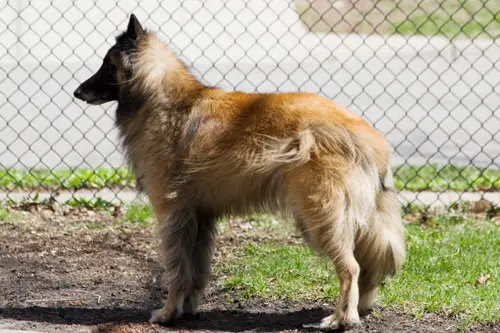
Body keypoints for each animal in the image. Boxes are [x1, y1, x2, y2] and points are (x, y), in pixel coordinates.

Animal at [73, 14, 406, 328]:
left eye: (107, 64)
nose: (76, 92)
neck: (159, 98)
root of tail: (368, 139)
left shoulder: (173, 214)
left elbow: (177, 269)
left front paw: (167, 313)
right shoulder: (200, 217)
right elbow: (196, 270)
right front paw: (188, 309)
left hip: (321, 216)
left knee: (351, 267)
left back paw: (341, 318)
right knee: (368, 264)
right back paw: (361, 307)